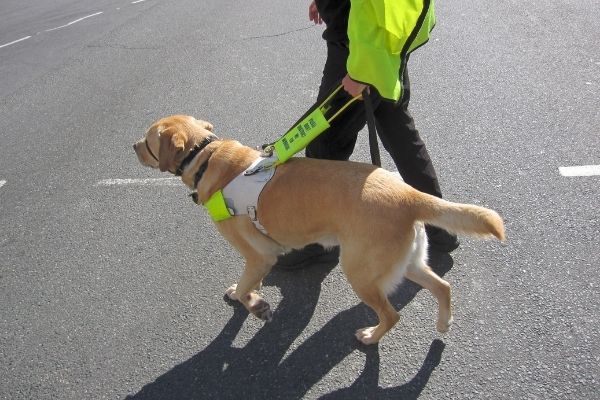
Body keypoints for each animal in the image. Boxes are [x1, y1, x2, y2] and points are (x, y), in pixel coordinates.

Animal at [134, 115, 504, 344]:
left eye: (148, 140)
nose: (131, 146)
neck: (206, 155)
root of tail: (408, 193)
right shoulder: (259, 259)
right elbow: (247, 282)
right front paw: (249, 295)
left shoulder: (260, 255)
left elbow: (247, 286)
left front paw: (253, 303)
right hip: (407, 262)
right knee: (443, 287)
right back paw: (444, 323)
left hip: (360, 272)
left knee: (392, 315)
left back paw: (371, 336)